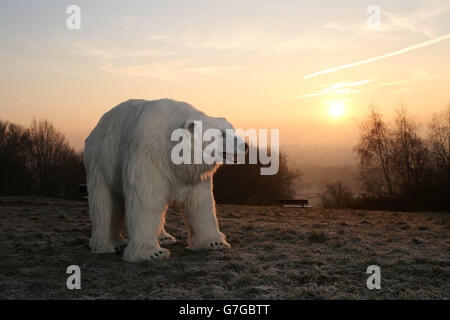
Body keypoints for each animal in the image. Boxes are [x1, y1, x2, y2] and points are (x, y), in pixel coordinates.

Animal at [82, 99, 248, 262]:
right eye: (222, 134)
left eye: (232, 130)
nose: (245, 145)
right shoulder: (148, 157)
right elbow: (146, 200)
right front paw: (152, 253)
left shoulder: (191, 175)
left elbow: (201, 203)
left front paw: (215, 243)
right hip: (101, 161)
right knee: (104, 204)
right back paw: (109, 245)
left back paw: (164, 237)